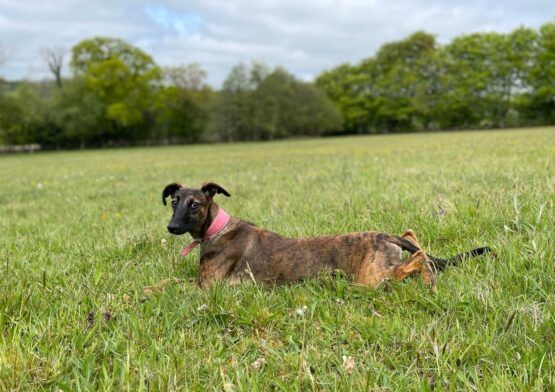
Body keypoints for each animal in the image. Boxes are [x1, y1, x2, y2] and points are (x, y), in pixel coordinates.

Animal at [163, 181, 494, 290]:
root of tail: (385, 236)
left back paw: (429, 281)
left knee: (419, 257)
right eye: (175, 201)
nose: (172, 228)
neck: (217, 228)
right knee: (415, 241)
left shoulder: (208, 287)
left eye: (195, 204)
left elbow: (166, 285)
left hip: (371, 278)